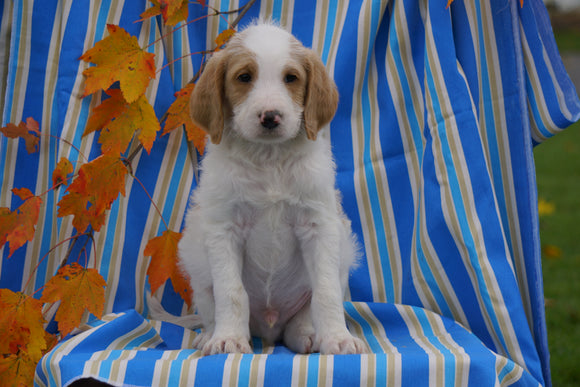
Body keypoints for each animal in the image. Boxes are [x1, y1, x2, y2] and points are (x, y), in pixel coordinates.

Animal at [179, 22, 364, 356]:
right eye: (244, 77)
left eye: (291, 78)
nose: (270, 117)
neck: (269, 159)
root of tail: (268, 329)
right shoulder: (224, 230)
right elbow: (232, 292)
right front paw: (228, 339)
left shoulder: (319, 227)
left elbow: (326, 292)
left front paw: (338, 338)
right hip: (198, 267)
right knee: (211, 308)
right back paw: (209, 335)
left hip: (340, 260)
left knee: (302, 316)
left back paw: (308, 335)